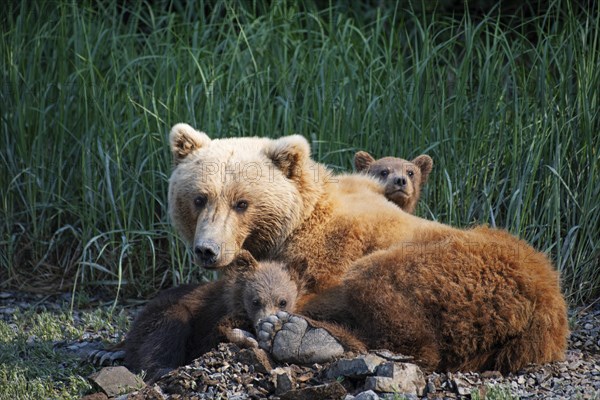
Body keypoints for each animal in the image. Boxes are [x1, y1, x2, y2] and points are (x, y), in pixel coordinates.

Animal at [123, 250, 300, 382]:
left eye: (282, 301)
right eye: (255, 301)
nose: (262, 323)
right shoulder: (210, 316)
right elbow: (211, 336)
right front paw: (245, 336)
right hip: (156, 317)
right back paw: (164, 369)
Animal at [169, 122, 568, 376]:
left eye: (242, 203)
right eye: (199, 198)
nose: (207, 250)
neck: (298, 222)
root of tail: (549, 309)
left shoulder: (334, 248)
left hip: (464, 268)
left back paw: (301, 334)